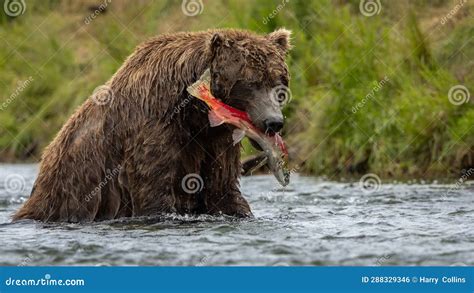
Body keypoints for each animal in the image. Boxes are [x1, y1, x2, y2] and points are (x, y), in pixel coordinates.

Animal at [12, 29, 290, 221]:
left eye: (279, 83)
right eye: (251, 82)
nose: (274, 122)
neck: (192, 112)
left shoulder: (215, 140)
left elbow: (222, 188)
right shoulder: (152, 129)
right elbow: (154, 190)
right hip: (67, 191)